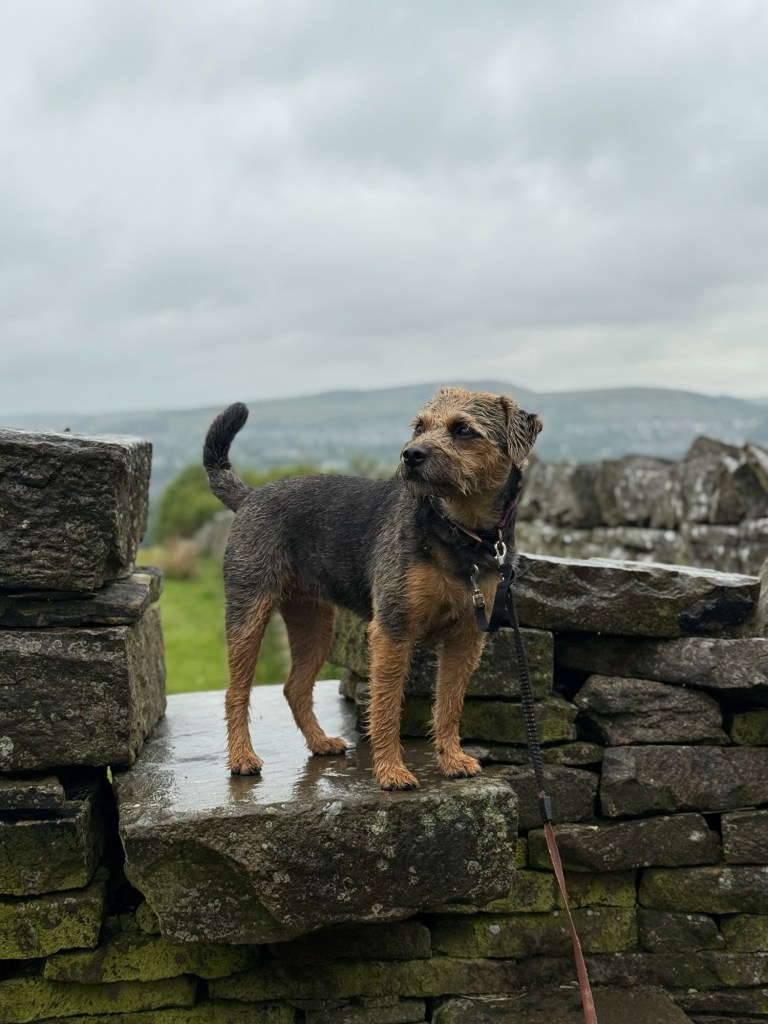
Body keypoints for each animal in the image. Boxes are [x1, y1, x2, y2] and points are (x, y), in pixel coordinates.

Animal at [203, 386, 542, 790]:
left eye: (463, 430)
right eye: (419, 427)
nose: (411, 454)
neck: (460, 533)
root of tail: (250, 497)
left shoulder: (465, 638)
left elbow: (448, 704)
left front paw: (451, 759)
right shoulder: (392, 630)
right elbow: (386, 707)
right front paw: (391, 771)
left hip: (315, 624)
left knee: (295, 687)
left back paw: (319, 741)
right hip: (248, 613)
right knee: (235, 692)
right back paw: (242, 757)